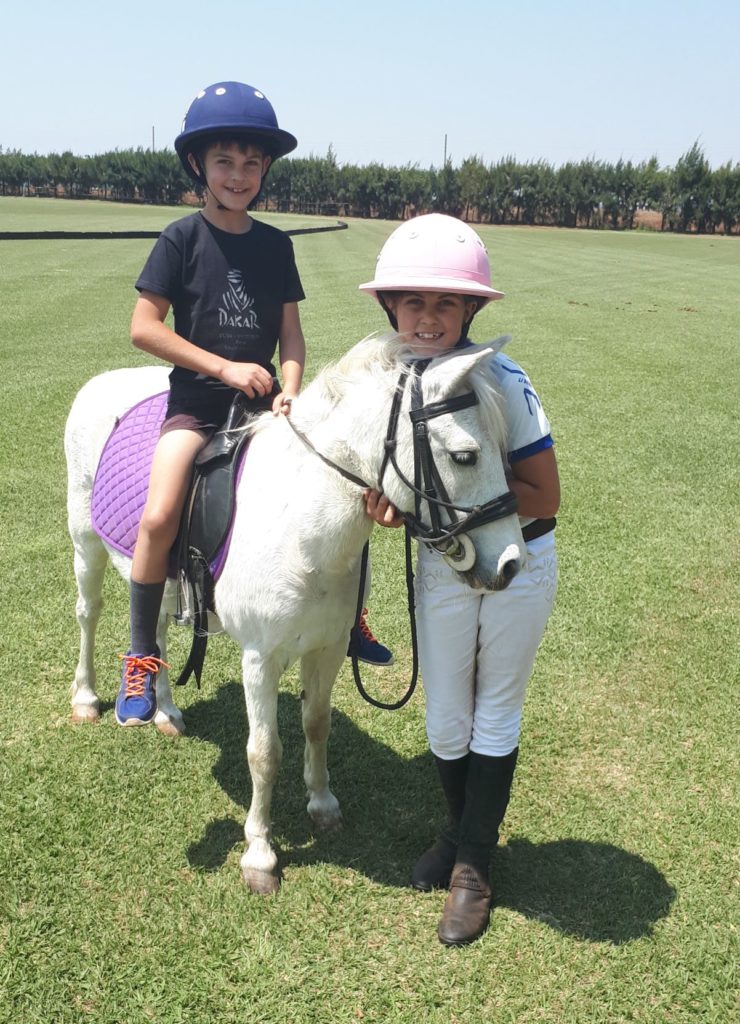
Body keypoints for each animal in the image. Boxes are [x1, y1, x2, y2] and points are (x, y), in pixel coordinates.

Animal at [66, 333, 524, 888]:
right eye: (464, 456)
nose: (512, 563)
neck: (299, 526)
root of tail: (105, 379)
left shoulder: (327, 647)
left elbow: (316, 723)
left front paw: (322, 804)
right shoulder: (259, 660)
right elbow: (264, 754)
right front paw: (259, 853)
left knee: (153, 621)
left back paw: (166, 710)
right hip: (87, 540)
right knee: (89, 612)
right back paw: (92, 698)